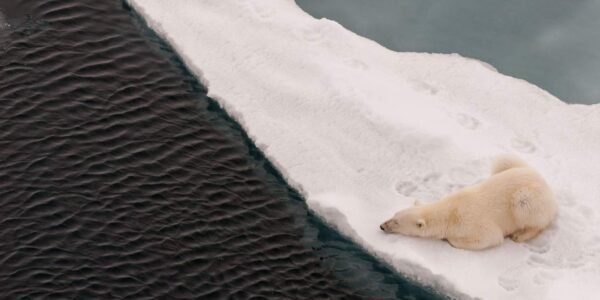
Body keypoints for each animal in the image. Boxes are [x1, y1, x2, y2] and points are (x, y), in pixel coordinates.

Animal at [380, 155, 556, 251]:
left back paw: (520, 235)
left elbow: (490, 238)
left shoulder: (472, 223)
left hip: (527, 198)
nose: (382, 226)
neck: (451, 212)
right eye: (394, 215)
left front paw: (448, 239)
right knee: (504, 160)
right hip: (513, 167)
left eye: (396, 222)